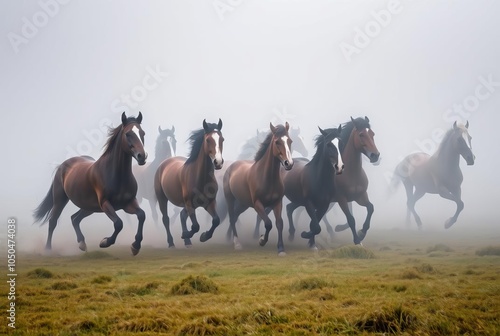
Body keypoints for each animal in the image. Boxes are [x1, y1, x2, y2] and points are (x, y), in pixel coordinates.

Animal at [34, 112, 147, 255]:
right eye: (128, 134)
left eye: (142, 133)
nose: (142, 156)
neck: (117, 176)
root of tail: (63, 165)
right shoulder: (105, 203)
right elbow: (118, 223)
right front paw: (105, 242)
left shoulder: (128, 203)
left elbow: (141, 215)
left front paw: (135, 246)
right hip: (60, 200)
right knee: (53, 221)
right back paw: (48, 249)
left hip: (89, 207)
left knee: (75, 218)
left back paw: (82, 243)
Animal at [154, 119, 225, 247]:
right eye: (208, 140)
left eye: (222, 139)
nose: (218, 162)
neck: (200, 179)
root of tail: (165, 162)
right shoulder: (189, 204)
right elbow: (196, 226)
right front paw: (186, 234)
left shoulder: (210, 203)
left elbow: (216, 221)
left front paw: (203, 236)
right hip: (162, 198)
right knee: (166, 219)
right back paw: (171, 243)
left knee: (182, 215)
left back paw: (187, 241)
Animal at [223, 122, 292, 256]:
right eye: (277, 142)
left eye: (290, 141)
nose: (289, 163)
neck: (266, 178)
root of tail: (231, 167)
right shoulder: (257, 204)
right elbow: (268, 223)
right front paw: (261, 240)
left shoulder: (277, 203)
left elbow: (279, 223)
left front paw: (281, 249)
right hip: (230, 199)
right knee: (232, 217)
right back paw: (237, 243)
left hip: (243, 203)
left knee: (235, 215)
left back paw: (229, 238)